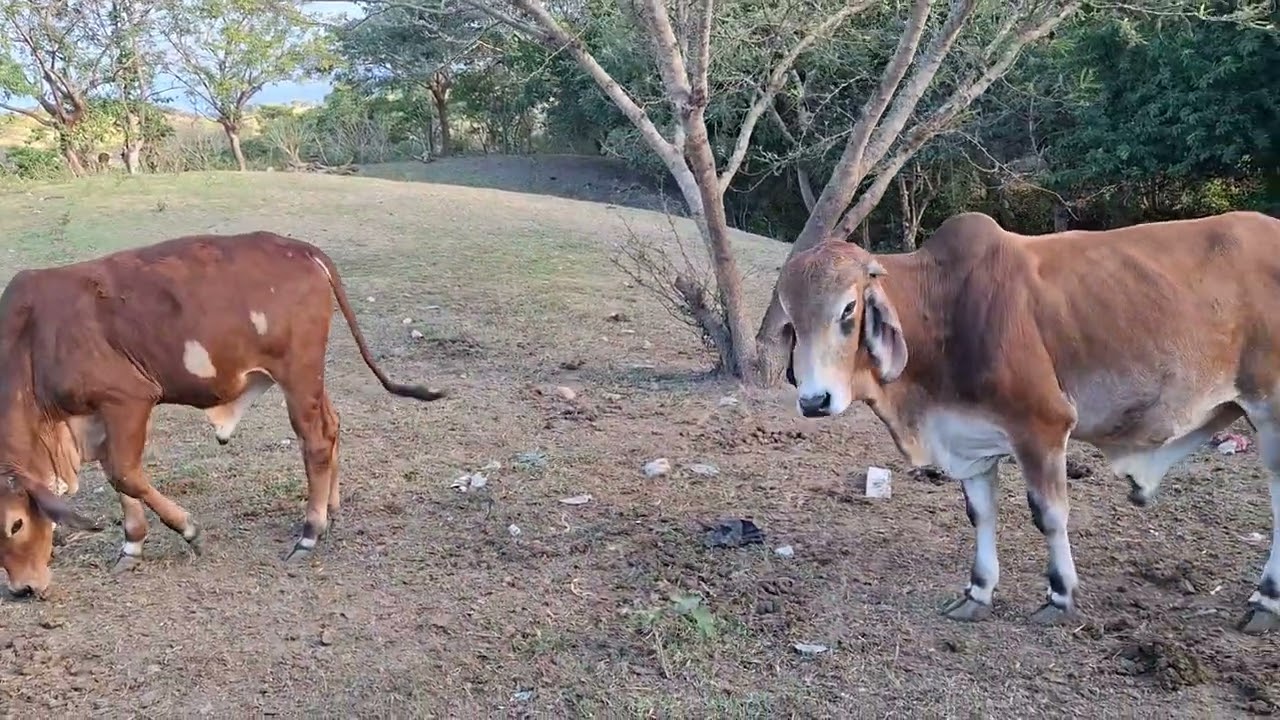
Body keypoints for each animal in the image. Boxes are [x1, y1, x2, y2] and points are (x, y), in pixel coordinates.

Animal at [0, 231, 446, 598]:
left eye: (15, 524)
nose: (23, 589)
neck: (31, 341)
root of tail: (303, 249)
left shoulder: (128, 399)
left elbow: (125, 475)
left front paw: (189, 531)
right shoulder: (91, 416)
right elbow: (116, 477)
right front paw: (132, 545)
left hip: (298, 372)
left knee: (316, 441)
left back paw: (310, 533)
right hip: (311, 380)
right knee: (332, 426)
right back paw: (331, 511)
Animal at [775, 210, 1280, 634]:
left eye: (848, 309)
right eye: (793, 319)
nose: (815, 400)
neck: (944, 309)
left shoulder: (1042, 428)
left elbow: (1049, 515)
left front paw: (1059, 596)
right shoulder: (969, 439)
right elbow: (980, 514)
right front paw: (978, 592)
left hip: (1270, 411)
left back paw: (1265, 601)